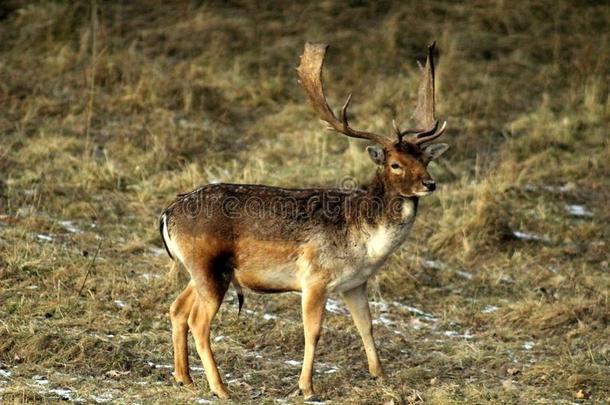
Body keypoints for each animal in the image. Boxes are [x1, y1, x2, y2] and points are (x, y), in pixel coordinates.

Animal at [160, 41, 446, 400]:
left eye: (424, 159)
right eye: (395, 164)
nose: (430, 184)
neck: (364, 241)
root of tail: (167, 215)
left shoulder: (355, 283)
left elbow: (366, 325)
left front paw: (381, 375)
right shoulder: (314, 277)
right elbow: (313, 331)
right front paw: (307, 387)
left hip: (198, 271)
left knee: (177, 308)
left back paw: (184, 378)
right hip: (209, 267)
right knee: (198, 321)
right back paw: (221, 389)